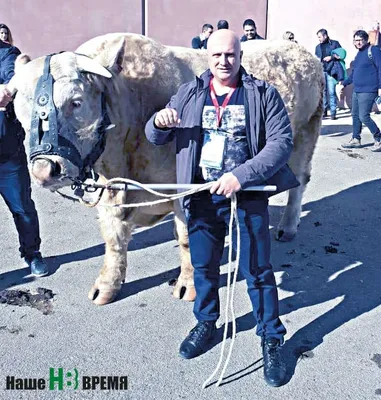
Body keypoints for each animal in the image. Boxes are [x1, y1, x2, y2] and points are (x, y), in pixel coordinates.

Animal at [10, 34, 322, 304]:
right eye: (19, 110)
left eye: (75, 102)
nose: (44, 170)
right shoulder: (111, 189)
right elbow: (113, 238)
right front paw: (107, 286)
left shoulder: (185, 189)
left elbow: (186, 238)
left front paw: (189, 284)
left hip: (306, 132)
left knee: (300, 181)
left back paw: (287, 227)